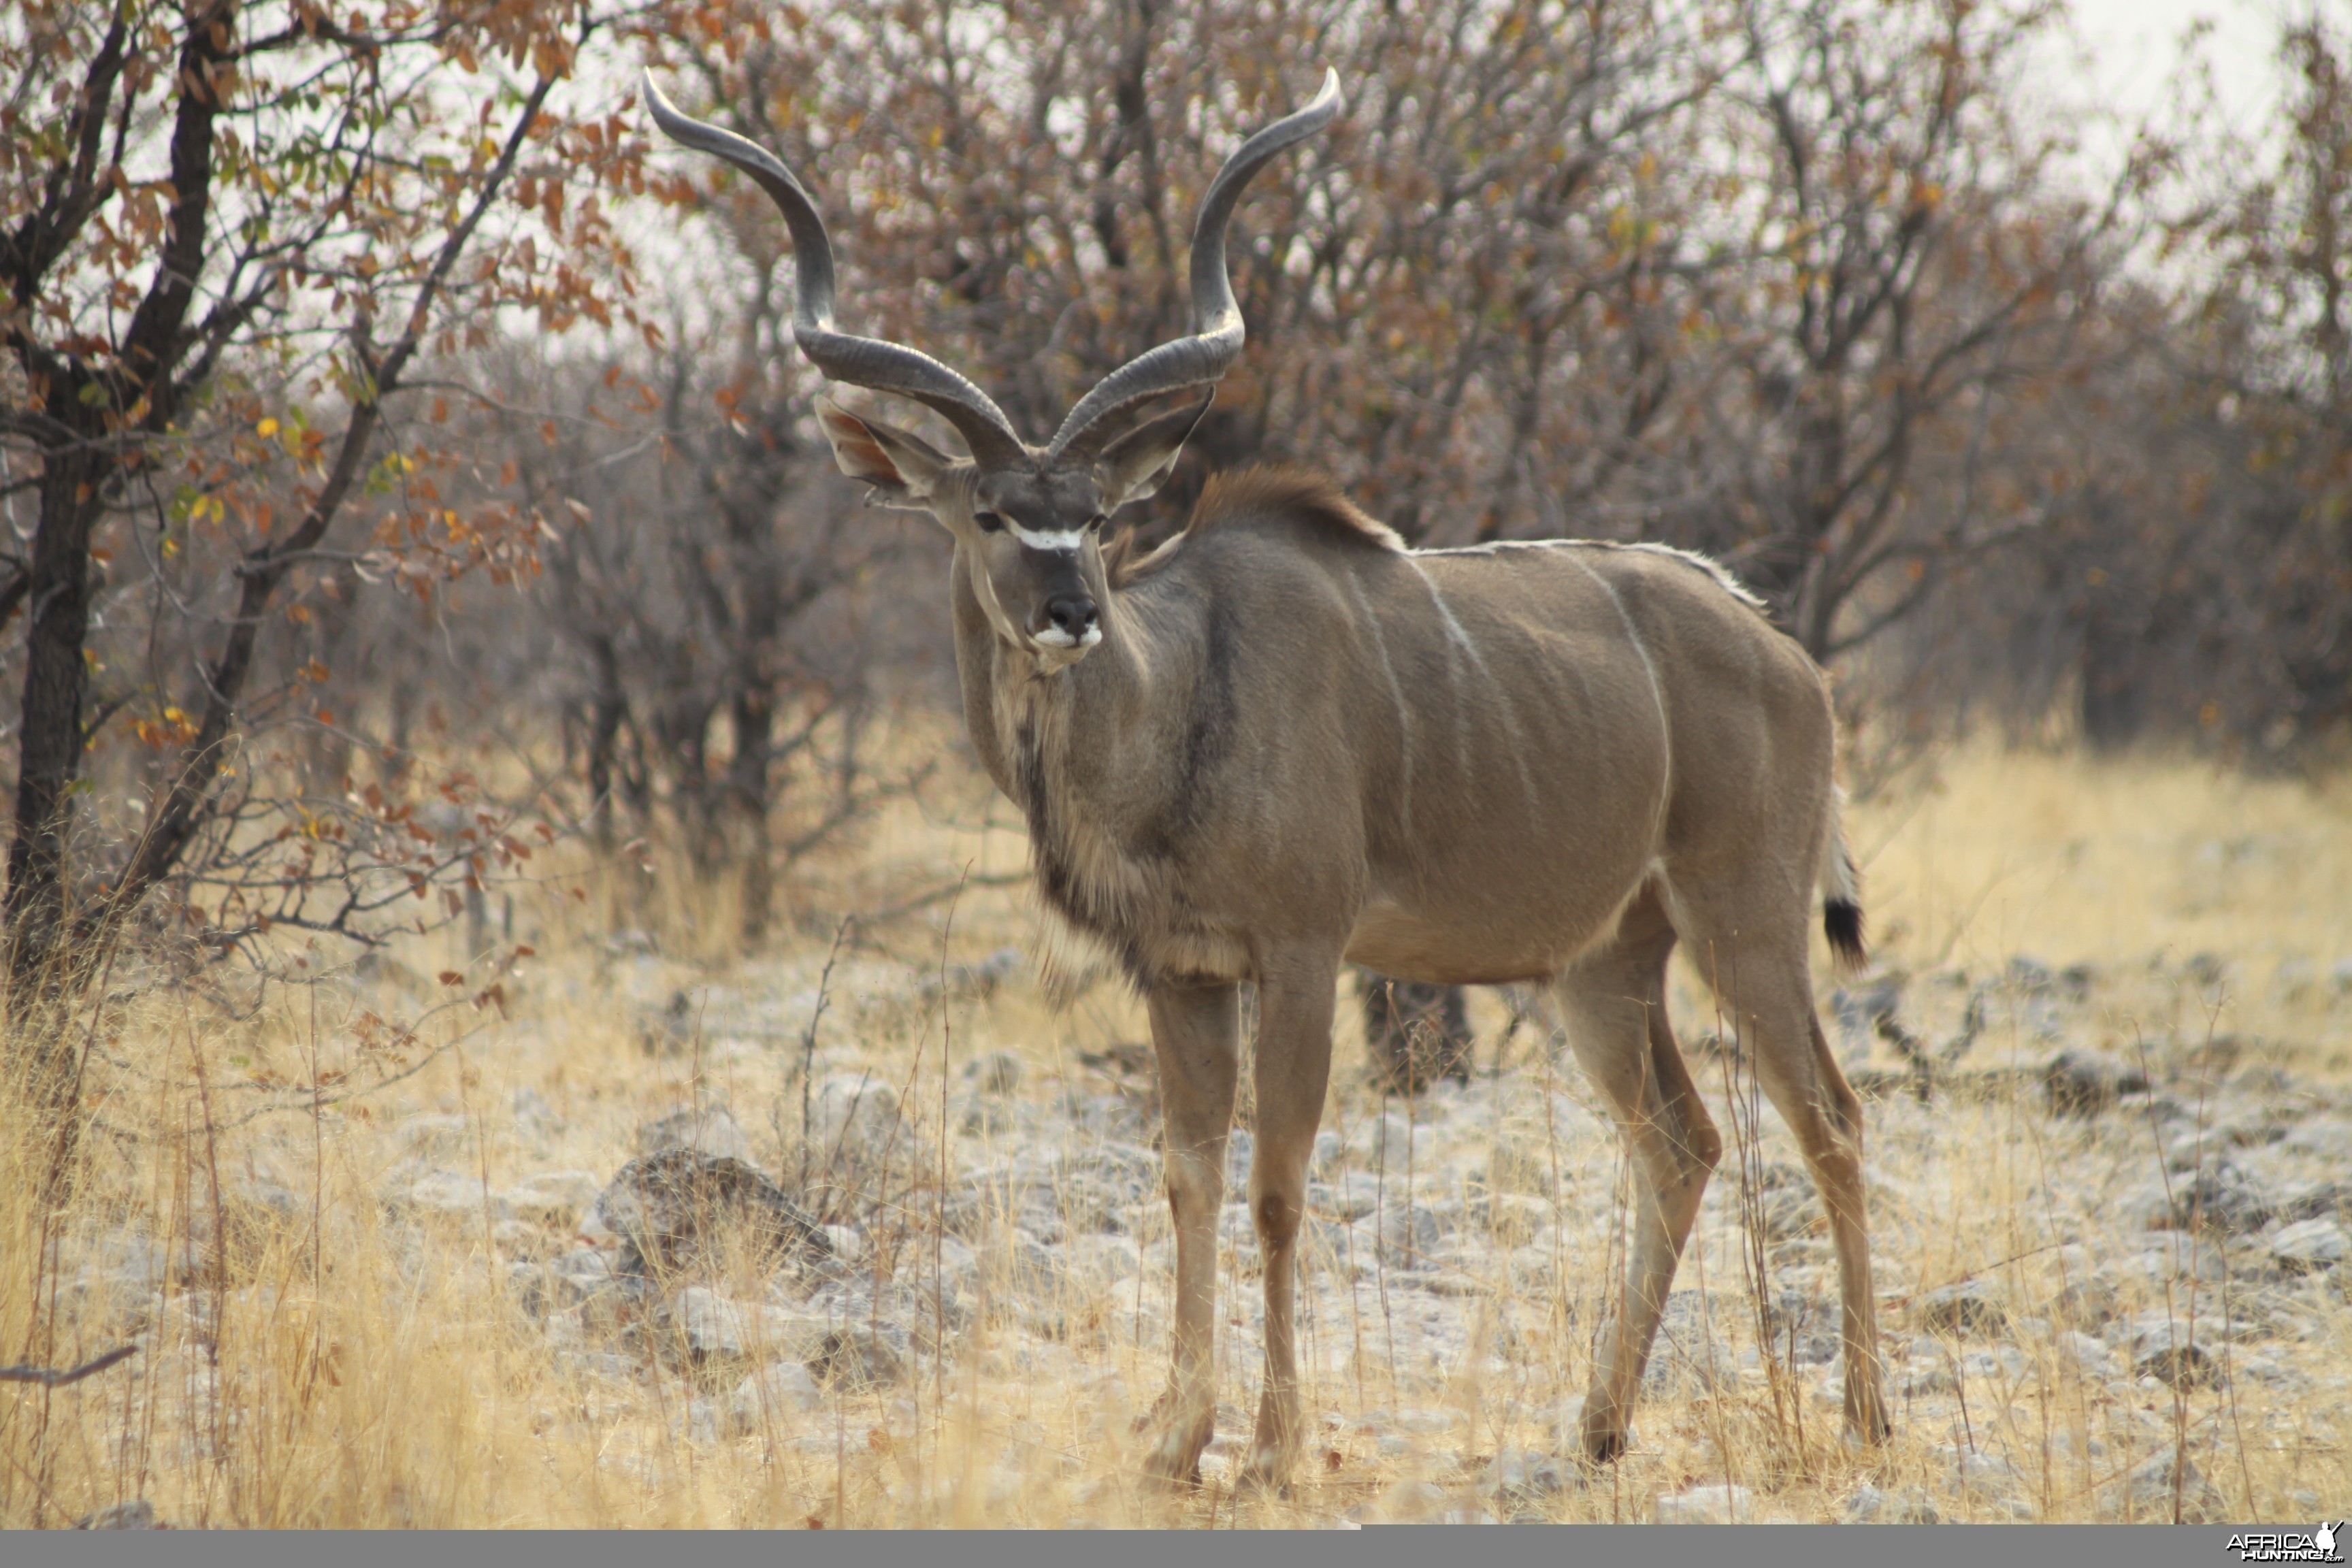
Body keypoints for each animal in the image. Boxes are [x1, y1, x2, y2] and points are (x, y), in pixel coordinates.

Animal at [649, 70, 1891, 1494]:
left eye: (1099, 517)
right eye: (991, 515)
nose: (1071, 611)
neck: (1179, 696)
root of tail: (1785, 652)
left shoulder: (1300, 952)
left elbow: (1277, 1186)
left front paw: (1273, 1447)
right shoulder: (1181, 973)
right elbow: (1188, 1176)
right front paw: (1176, 1436)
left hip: (1743, 918)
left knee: (1832, 1119)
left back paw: (1863, 1414)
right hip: (1603, 961)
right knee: (1682, 1139)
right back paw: (1598, 1421)